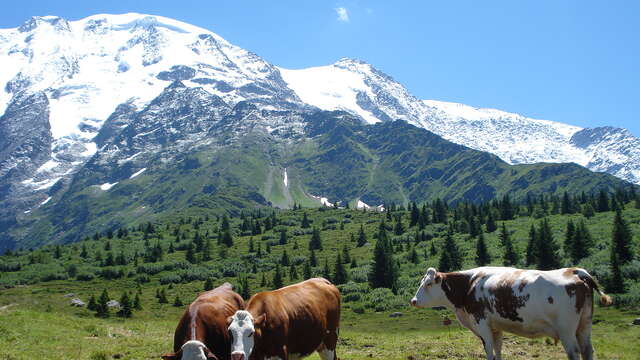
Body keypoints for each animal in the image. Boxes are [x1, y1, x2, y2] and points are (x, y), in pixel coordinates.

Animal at [412, 266, 612, 360]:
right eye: (421, 282)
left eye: (428, 283)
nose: (413, 300)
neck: (469, 284)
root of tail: (575, 271)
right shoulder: (496, 327)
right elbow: (498, 348)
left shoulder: (482, 324)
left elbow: (489, 350)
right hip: (584, 325)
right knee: (588, 351)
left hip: (566, 330)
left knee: (575, 352)